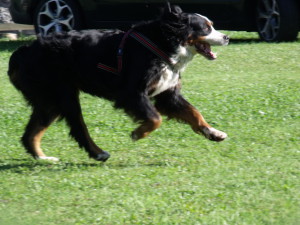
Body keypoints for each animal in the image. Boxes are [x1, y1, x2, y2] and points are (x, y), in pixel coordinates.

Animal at [8, 3, 230, 162]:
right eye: (206, 28)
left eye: (212, 25)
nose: (227, 37)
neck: (162, 43)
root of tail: (24, 51)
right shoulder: (132, 92)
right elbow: (155, 118)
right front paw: (138, 133)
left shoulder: (167, 94)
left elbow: (194, 113)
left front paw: (213, 132)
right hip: (63, 95)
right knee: (79, 128)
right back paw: (98, 153)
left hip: (49, 101)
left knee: (31, 133)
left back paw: (43, 158)